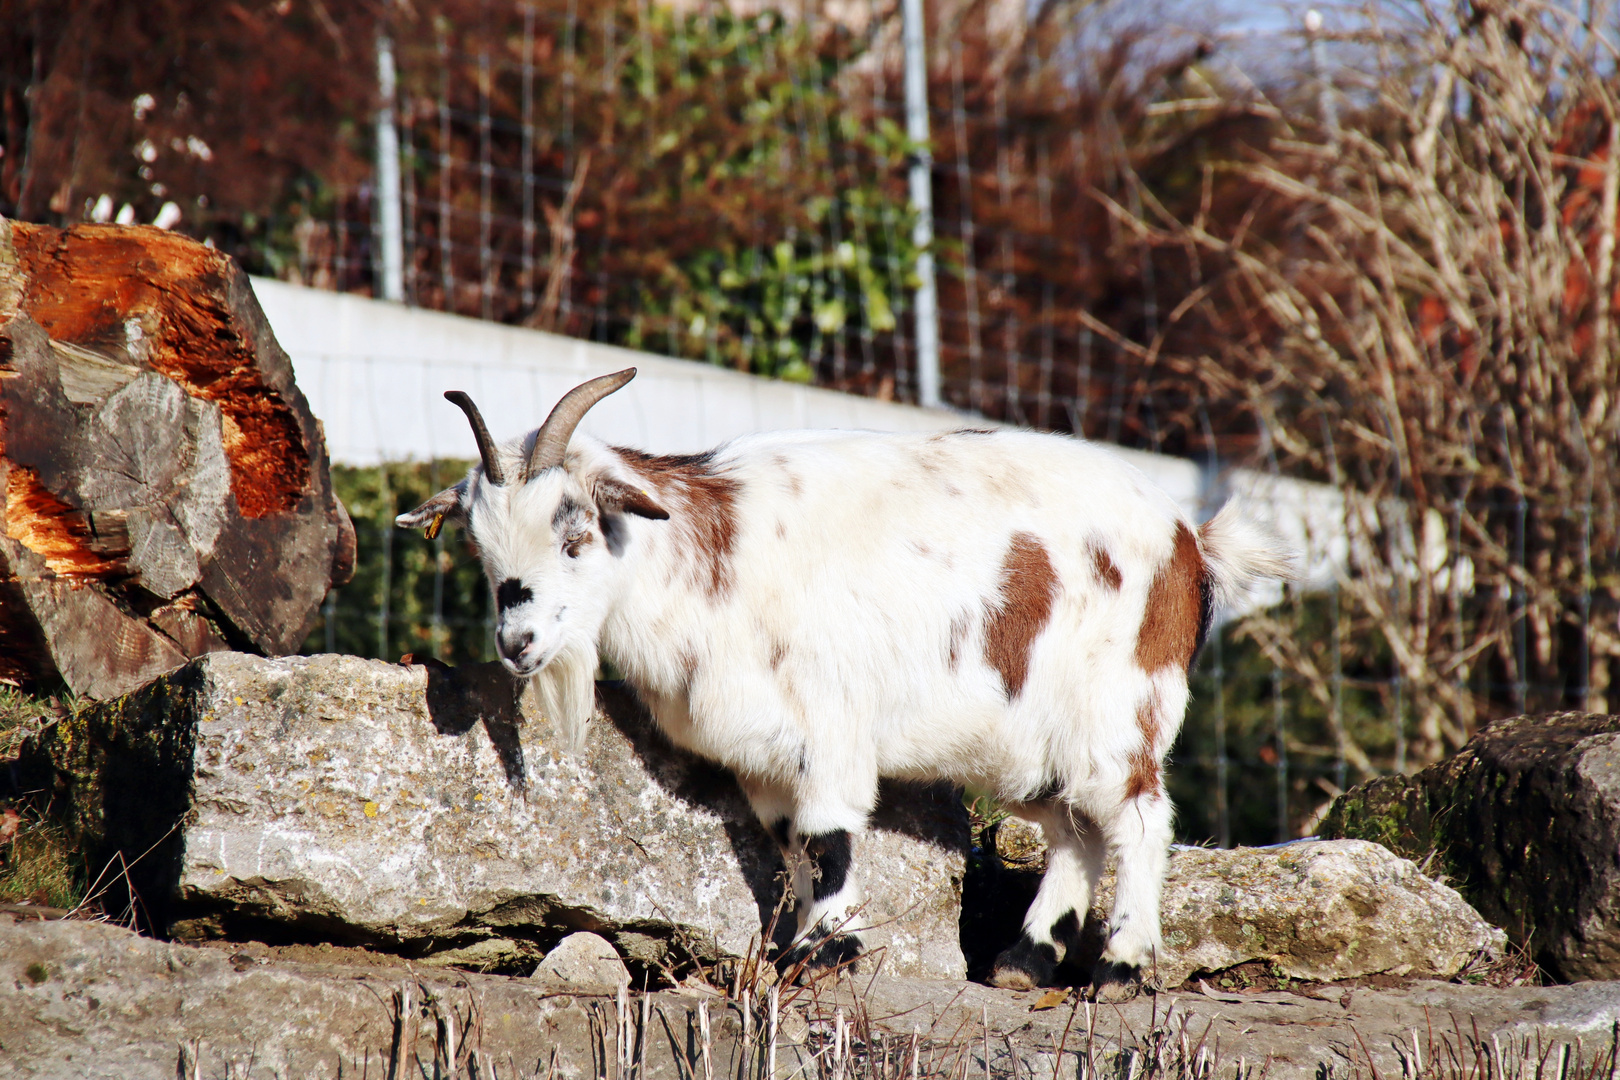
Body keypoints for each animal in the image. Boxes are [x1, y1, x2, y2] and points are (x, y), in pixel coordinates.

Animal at [398, 369, 1296, 997]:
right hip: (1030, 747)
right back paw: (1024, 960)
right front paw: (798, 945)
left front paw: (830, 950)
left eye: (575, 533)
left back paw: (1120, 967)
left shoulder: (828, 728)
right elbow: (790, 844)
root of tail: (1189, 541)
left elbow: (829, 837)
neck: (709, 557)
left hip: (1119, 712)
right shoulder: (762, 757)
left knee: (1140, 817)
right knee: (1078, 831)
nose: (517, 643)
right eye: (479, 548)